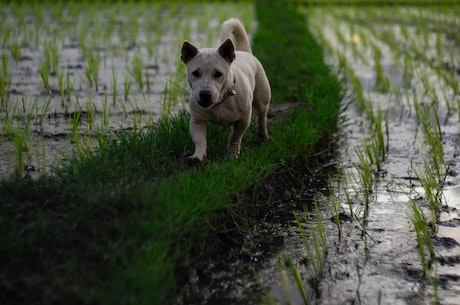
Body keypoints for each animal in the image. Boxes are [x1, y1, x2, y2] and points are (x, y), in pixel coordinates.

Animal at [181, 17, 272, 162]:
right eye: (195, 73)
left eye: (218, 74)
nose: (205, 94)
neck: (220, 101)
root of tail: (245, 52)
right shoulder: (197, 121)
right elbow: (200, 140)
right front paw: (197, 156)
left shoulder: (243, 119)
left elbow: (235, 137)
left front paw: (232, 155)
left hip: (262, 98)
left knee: (262, 118)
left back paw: (263, 135)